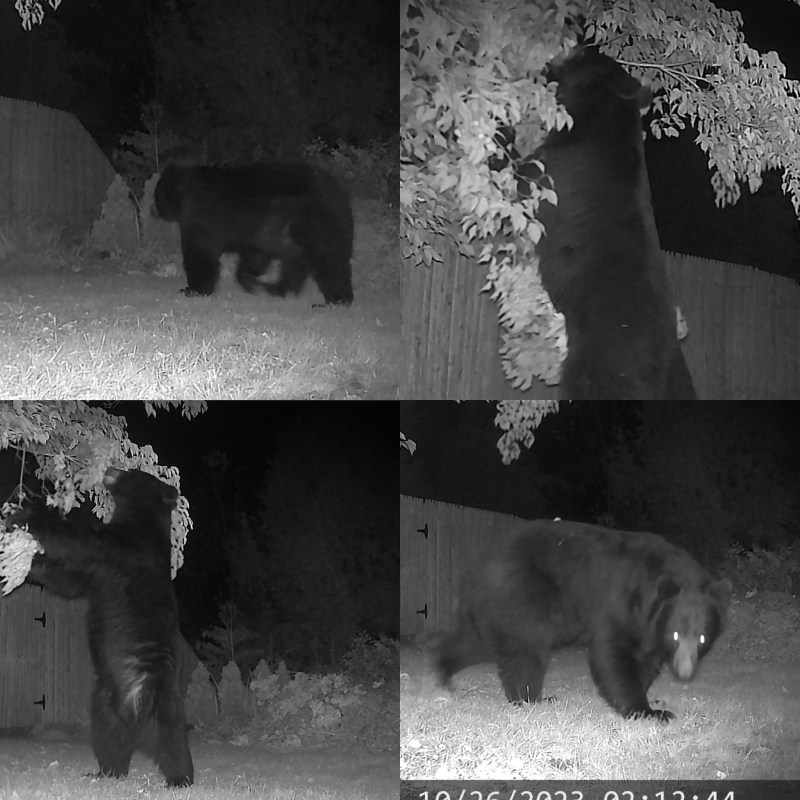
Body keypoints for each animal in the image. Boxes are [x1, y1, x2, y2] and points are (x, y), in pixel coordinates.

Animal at [9, 467, 194, 786]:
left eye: (132, 471)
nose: (110, 469)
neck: (142, 517)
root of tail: (137, 721)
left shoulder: (119, 550)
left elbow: (80, 544)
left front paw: (21, 515)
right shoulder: (100, 575)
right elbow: (70, 583)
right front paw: (33, 563)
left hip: (166, 705)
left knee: (174, 742)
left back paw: (181, 779)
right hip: (105, 705)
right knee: (109, 740)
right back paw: (105, 772)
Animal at [152, 161, 354, 306]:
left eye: (156, 193)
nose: (153, 210)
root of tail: (339, 192)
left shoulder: (203, 218)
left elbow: (200, 252)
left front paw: (193, 289)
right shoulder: (256, 231)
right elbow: (254, 254)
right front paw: (251, 282)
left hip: (316, 224)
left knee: (329, 260)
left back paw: (337, 299)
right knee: (296, 262)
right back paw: (280, 289)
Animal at [434, 519, 730, 722]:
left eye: (702, 638)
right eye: (676, 634)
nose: (685, 673)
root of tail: (477, 567)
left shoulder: (647, 625)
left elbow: (644, 659)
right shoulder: (618, 602)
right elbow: (611, 654)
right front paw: (647, 711)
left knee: (479, 642)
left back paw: (445, 670)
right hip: (522, 595)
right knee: (526, 649)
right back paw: (531, 698)